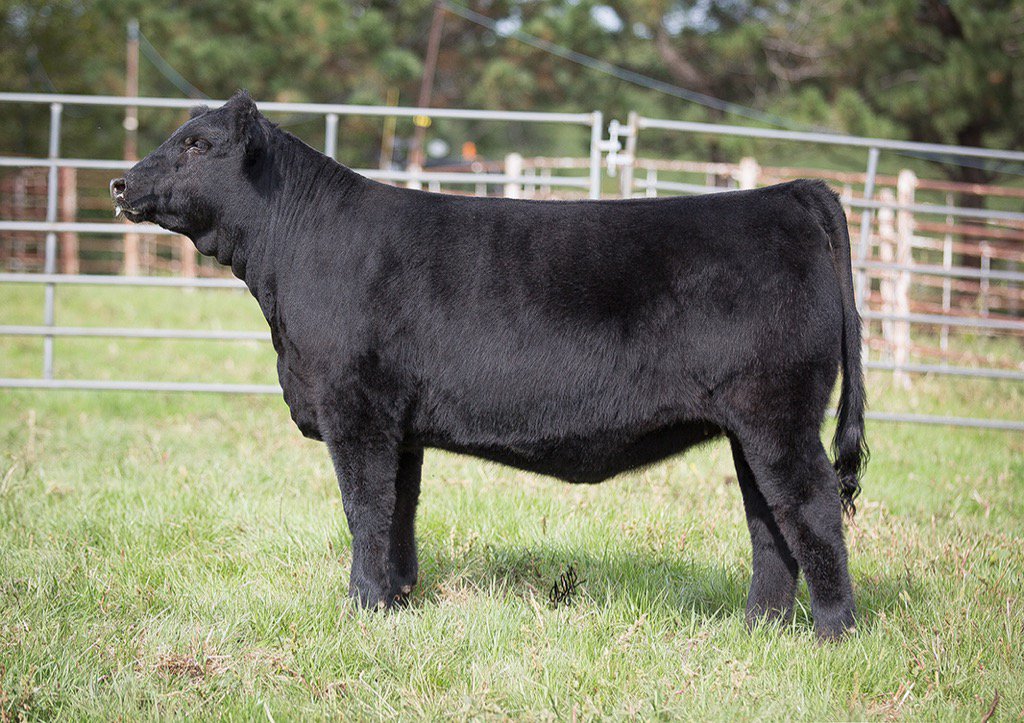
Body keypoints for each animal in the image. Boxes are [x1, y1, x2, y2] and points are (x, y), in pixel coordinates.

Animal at [111, 91, 867, 640]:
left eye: (197, 144)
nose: (120, 183)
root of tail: (788, 192)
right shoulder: (400, 424)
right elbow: (399, 509)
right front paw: (397, 600)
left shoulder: (355, 409)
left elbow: (365, 507)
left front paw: (361, 608)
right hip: (749, 427)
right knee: (769, 523)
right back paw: (758, 629)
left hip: (778, 415)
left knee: (812, 509)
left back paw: (833, 634)